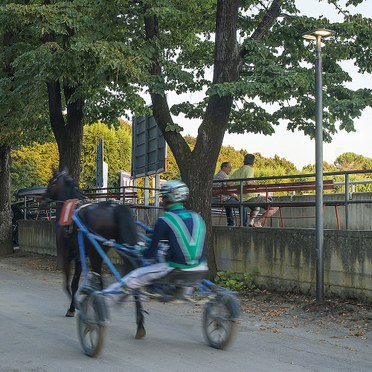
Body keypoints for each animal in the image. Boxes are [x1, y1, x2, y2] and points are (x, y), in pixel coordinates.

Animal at [44, 170, 146, 338]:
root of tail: (114, 207)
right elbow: (75, 283)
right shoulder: (80, 256)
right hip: (119, 249)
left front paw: (75, 307)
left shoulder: (67, 256)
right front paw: (74, 307)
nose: (43, 196)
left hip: (95, 254)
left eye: (51, 181)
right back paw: (140, 325)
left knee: (100, 283)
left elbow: (67, 284)